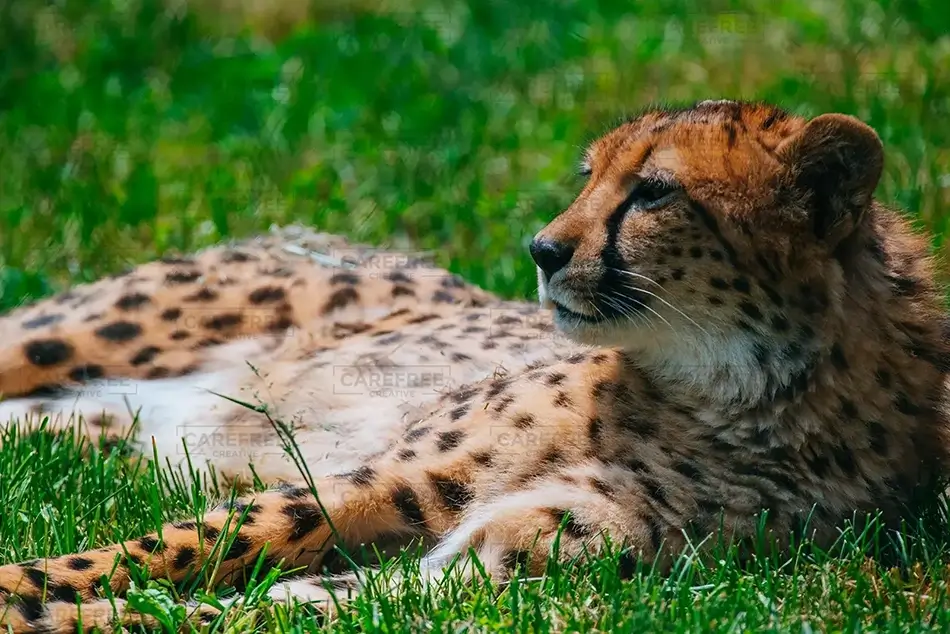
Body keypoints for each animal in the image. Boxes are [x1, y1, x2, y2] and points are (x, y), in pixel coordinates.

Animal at [1, 99, 949, 634]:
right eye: (590, 175)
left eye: (654, 192)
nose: (542, 249)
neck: (734, 392)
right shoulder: (385, 482)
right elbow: (169, 548)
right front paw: (30, 592)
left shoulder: (494, 568)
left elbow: (265, 608)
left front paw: (71, 618)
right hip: (79, 335)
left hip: (100, 422)